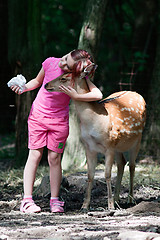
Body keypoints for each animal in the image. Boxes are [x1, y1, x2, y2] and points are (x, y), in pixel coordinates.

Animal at [44, 72, 146, 211]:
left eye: (63, 78)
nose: (46, 84)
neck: (95, 120)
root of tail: (137, 93)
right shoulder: (89, 147)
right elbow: (90, 175)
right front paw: (85, 205)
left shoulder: (109, 146)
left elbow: (107, 174)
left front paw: (110, 206)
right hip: (118, 145)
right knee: (122, 163)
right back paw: (117, 199)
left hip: (136, 140)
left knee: (132, 165)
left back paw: (129, 199)